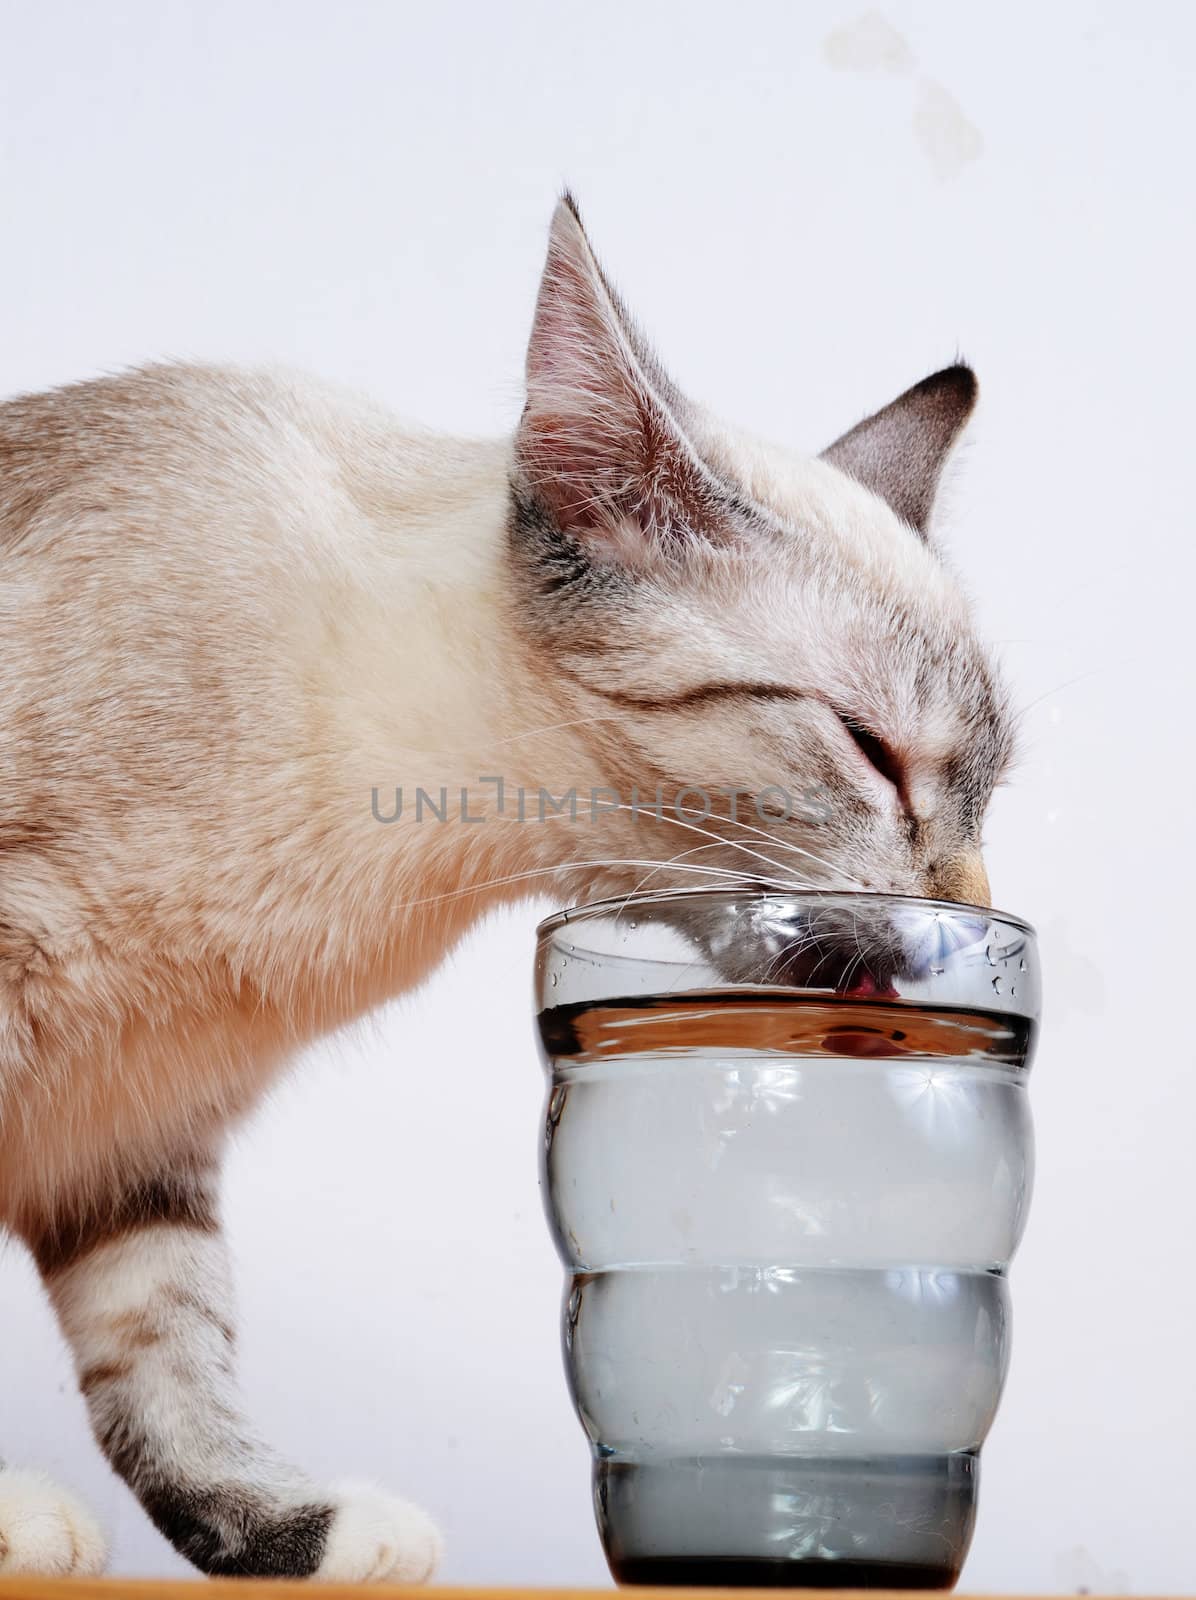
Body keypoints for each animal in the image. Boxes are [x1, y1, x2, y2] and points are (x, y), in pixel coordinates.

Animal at [0, 193, 1010, 1580]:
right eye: (873, 754)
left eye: (987, 796)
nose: (959, 917)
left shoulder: (136, 1125)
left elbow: (170, 1355)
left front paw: (298, 1537)